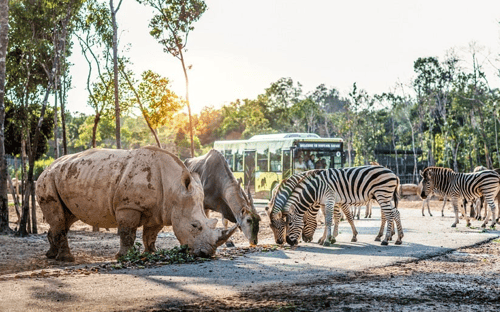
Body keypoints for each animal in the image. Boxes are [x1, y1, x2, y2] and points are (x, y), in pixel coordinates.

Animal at [37, 146, 236, 260]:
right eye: (195, 226)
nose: (207, 254)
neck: (175, 188)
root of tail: (46, 167)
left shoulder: (160, 211)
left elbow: (151, 234)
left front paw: (152, 254)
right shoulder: (128, 206)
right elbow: (128, 233)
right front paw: (124, 257)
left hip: (66, 176)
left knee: (66, 217)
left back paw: (51, 256)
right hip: (47, 180)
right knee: (59, 219)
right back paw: (66, 259)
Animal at [272, 166, 400, 246]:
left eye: (289, 224)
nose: (288, 242)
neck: (316, 188)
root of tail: (393, 173)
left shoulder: (330, 199)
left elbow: (330, 220)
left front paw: (328, 240)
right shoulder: (325, 202)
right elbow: (328, 220)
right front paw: (325, 239)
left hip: (382, 195)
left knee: (389, 215)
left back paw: (386, 239)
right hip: (382, 196)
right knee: (395, 213)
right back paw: (398, 238)